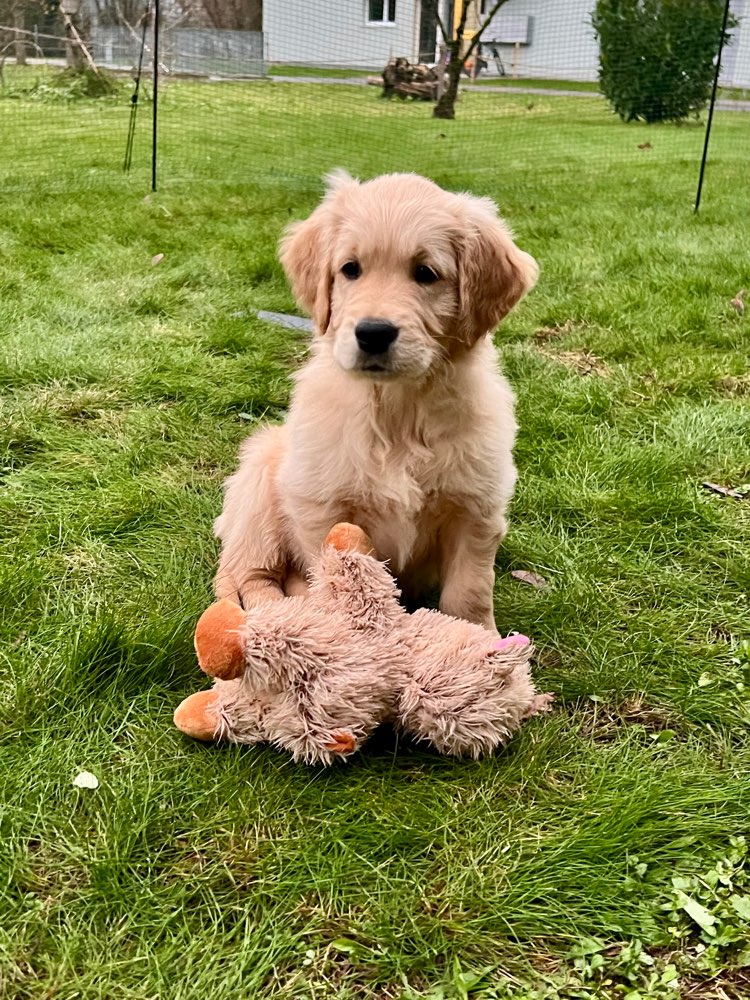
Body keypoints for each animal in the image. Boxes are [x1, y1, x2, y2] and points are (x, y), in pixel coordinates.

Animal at [214, 168, 536, 628]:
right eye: (351, 269)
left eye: (426, 273)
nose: (373, 333)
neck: (398, 408)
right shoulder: (320, 505)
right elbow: (330, 575)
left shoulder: (476, 507)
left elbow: (469, 593)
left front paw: (481, 638)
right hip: (259, 487)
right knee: (253, 577)